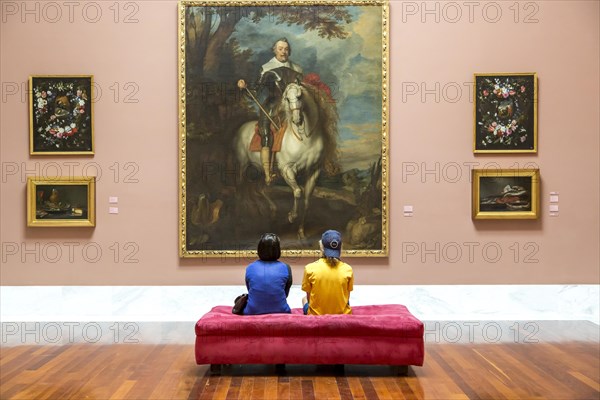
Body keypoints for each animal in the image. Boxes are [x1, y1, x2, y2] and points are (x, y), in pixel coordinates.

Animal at [234, 81, 328, 238]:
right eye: (287, 99)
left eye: (299, 96)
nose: (297, 120)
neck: (306, 139)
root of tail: (241, 128)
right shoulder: (287, 170)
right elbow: (298, 192)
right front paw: (291, 216)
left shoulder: (314, 171)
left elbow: (307, 200)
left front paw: (301, 231)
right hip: (243, 165)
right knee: (241, 186)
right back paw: (242, 213)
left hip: (260, 169)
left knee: (261, 189)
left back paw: (271, 210)